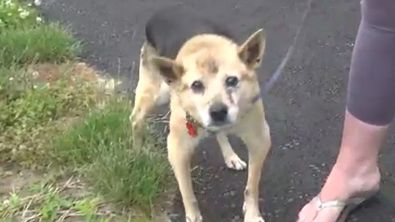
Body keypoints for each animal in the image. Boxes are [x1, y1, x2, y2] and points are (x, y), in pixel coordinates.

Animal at [130, 6, 272, 222]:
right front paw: (193, 215)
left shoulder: (260, 140)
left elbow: (251, 186)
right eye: (196, 85)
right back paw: (138, 152)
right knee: (136, 118)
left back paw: (230, 155)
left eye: (232, 80)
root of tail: (162, 10)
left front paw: (252, 214)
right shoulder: (178, 150)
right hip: (156, 94)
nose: (218, 112)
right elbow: (187, 192)